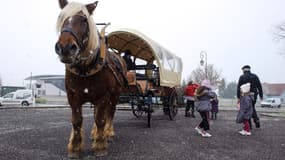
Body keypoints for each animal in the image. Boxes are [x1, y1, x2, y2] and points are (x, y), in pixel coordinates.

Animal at [54, 0, 126, 158]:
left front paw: (100, 146)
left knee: (110, 112)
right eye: (62, 18)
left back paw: (108, 133)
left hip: (115, 95)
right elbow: (77, 121)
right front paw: (75, 147)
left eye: (84, 21)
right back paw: (95, 133)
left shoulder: (103, 95)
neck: (85, 69)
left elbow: (101, 119)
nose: (65, 48)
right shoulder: (72, 96)